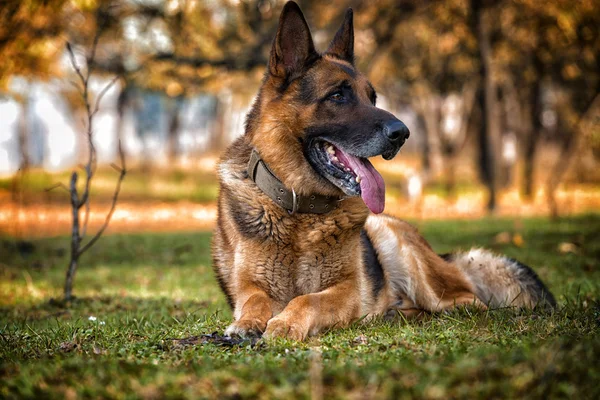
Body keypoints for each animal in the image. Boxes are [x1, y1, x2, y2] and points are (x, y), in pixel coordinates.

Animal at [212, 2, 556, 340]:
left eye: (372, 97)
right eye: (338, 95)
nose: (402, 134)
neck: (301, 212)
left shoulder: (347, 291)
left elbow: (306, 299)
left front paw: (285, 322)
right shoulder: (250, 286)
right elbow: (254, 300)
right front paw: (247, 323)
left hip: (402, 251)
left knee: (468, 301)